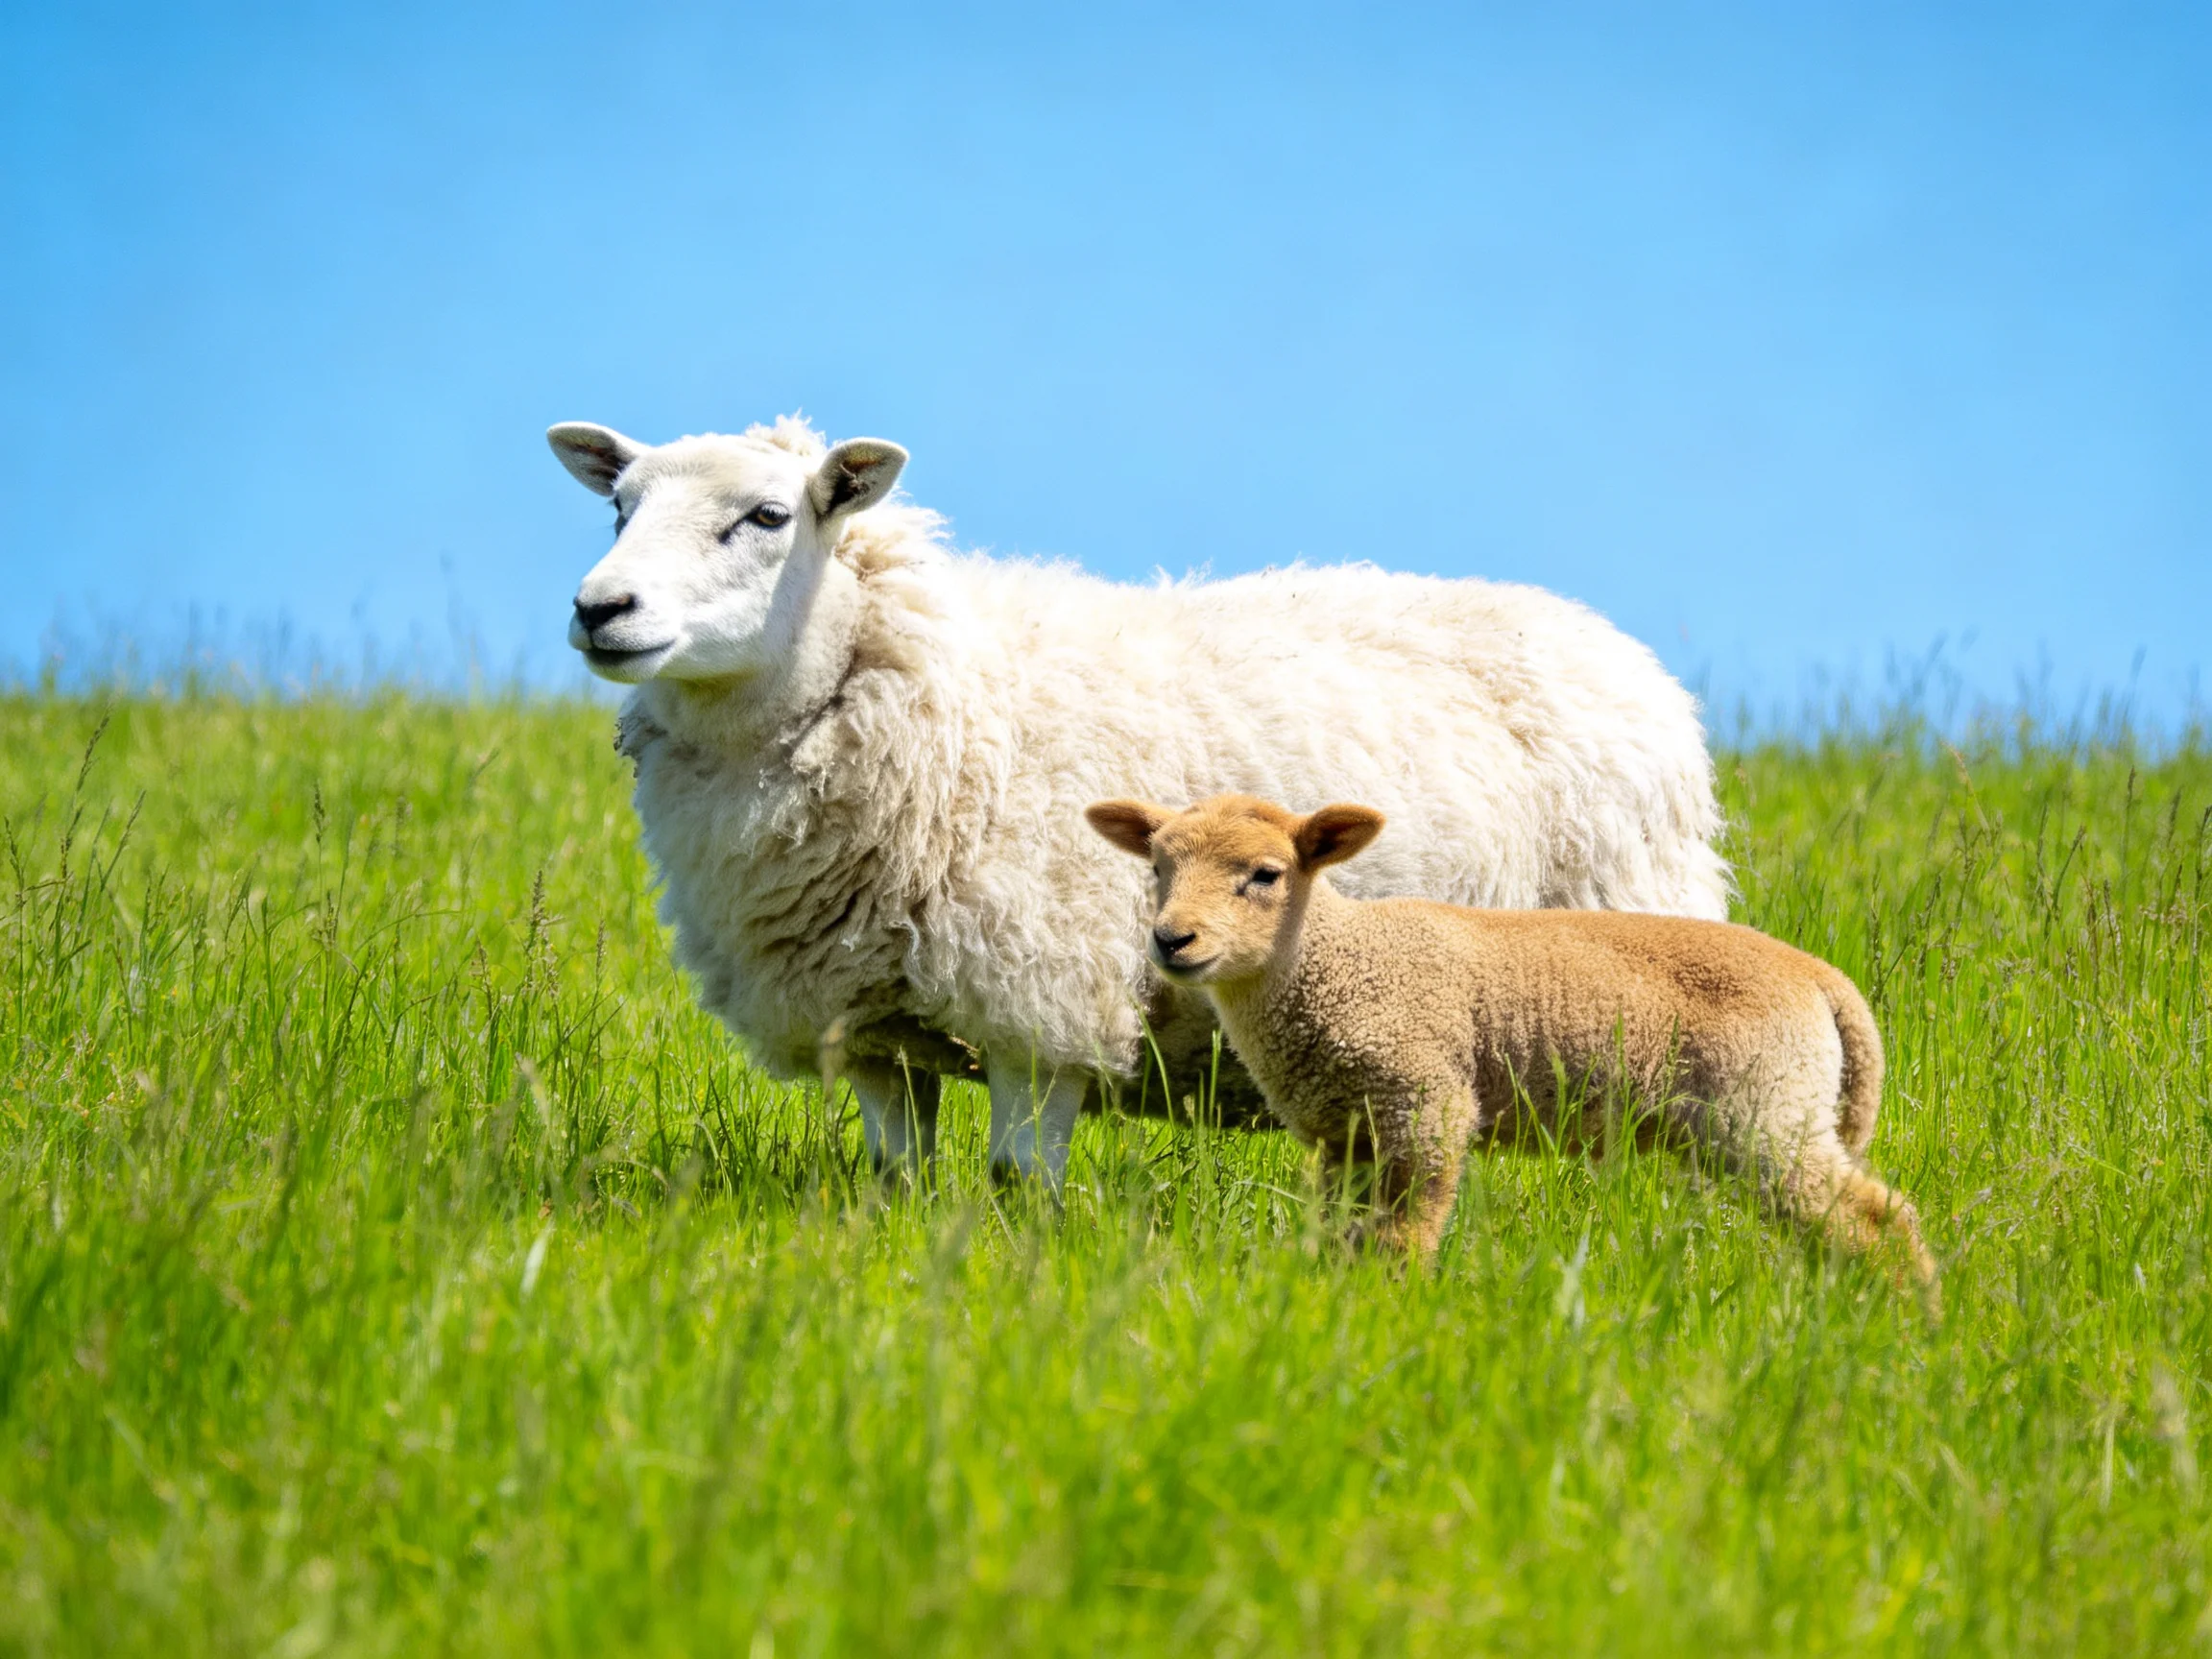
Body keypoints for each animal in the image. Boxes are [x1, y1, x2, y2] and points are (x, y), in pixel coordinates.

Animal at [546, 414, 1732, 1186]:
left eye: (764, 515)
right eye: (617, 508)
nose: (601, 610)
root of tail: (1622, 653)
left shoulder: (1041, 997)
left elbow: (1020, 1185)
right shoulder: (868, 1023)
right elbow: (896, 1182)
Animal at [1085, 792, 1935, 1287]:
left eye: (1264, 874)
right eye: (1157, 868)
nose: (1172, 939)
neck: (1336, 960)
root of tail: (1824, 981)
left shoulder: (1426, 1104)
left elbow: (1405, 1241)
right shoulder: (1347, 1134)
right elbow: (1343, 1239)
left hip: (1764, 1108)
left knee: (1879, 1220)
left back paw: (1909, 1326)